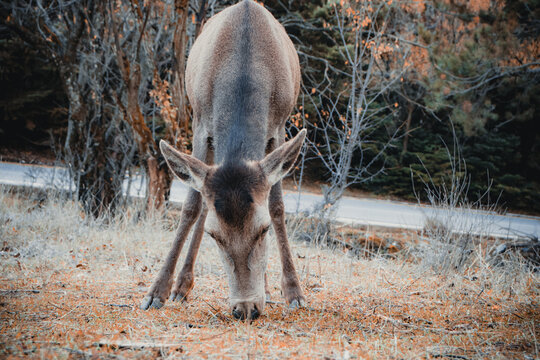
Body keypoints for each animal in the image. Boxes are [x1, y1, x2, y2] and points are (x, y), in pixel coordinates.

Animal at [141, 0, 306, 320]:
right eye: (214, 235)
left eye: (263, 229)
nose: (246, 309)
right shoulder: (200, 124)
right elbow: (191, 207)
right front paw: (158, 291)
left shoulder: (279, 127)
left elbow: (277, 206)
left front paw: (294, 293)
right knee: (203, 203)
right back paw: (182, 286)